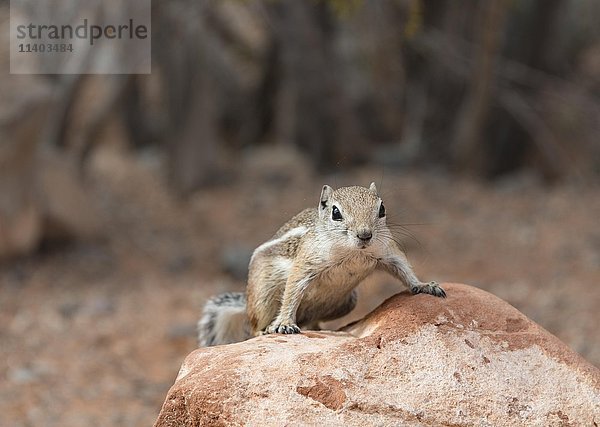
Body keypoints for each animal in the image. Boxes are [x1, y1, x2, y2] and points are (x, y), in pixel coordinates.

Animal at [198, 181, 446, 348]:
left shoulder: (387, 251)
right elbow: (293, 290)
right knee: (254, 325)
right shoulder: (307, 262)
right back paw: (266, 330)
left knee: (312, 321)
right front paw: (285, 323)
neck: (353, 253)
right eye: (335, 212)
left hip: (348, 303)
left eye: (382, 208)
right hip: (263, 295)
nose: (365, 235)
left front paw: (425, 285)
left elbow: (404, 269)